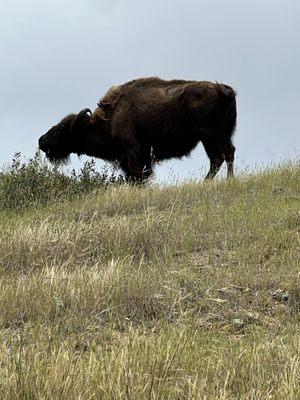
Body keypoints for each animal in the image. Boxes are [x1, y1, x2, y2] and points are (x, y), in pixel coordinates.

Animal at [38, 76, 237, 181]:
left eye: (62, 129)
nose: (41, 141)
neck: (110, 118)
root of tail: (224, 90)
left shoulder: (132, 151)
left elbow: (137, 175)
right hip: (224, 135)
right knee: (229, 153)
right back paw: (229, 180)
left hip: (209, 137)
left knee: (217, 158)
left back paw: (205, 182)